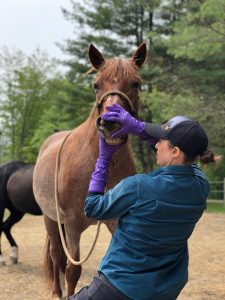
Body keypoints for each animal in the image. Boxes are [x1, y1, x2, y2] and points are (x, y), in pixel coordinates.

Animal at [32, 42, 147, 300]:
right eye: (96, 85)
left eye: (135, 83)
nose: (110, 123)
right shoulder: (73, 223)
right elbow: (73, 270)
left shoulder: (115, 220)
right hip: (50, 219)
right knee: (56, 254)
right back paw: (57, 293)